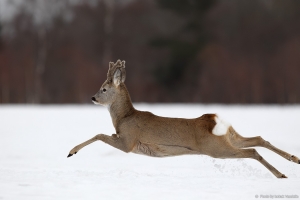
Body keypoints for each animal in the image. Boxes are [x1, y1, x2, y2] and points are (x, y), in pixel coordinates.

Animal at [68, 59, 300, 178]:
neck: (124, 118)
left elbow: (99, 134)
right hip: (229, 137)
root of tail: (215, 119)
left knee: (252, 150)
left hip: (216, 148)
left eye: (104, 89)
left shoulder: (128, 142)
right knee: (259, 139)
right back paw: (293, 159)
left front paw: (71, 151)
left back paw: (281, 174)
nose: (92, 98)